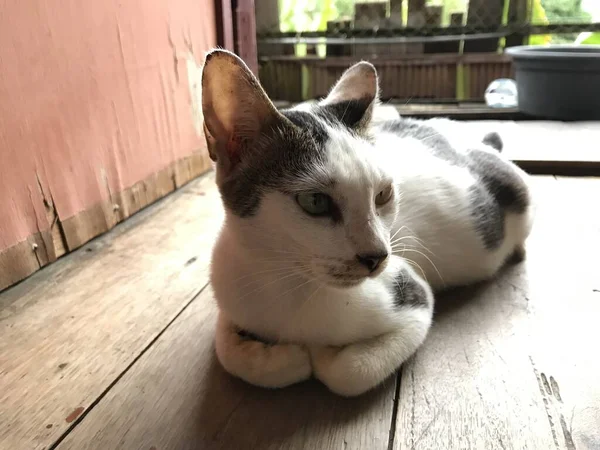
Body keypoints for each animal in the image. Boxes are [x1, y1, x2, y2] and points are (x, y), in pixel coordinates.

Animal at [203, 50, 536, 398]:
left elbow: (349, 373)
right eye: (315, 201)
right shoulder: (232, 290)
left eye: (383, 194)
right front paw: (281, 357)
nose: (377, 256)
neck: (284, 284)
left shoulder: (414, 297)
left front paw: (319, 355)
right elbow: (227, 349)